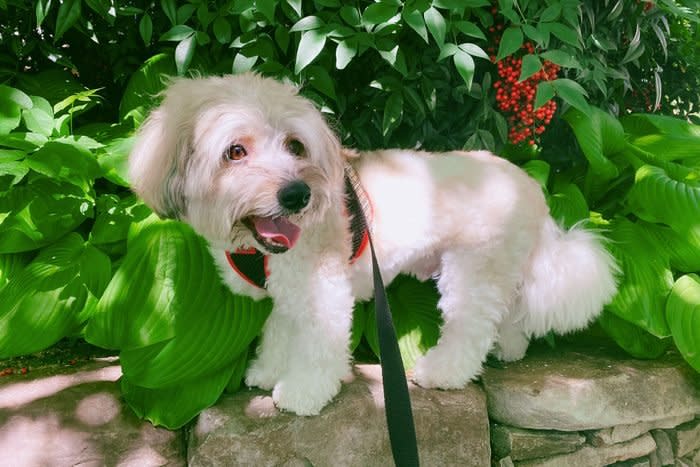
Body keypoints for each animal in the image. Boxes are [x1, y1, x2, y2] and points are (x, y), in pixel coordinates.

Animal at [127, 73, 616, 416]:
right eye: (235, 152)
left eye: (294, 145)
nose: (296, 195)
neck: (255, 249)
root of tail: (529, 186)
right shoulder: (288, 291)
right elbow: (280, 333)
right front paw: (268, 371)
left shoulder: (322, 289)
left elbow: (318, 347)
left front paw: (302, 392)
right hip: (501, 269)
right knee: (508, 315)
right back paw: (508, 349)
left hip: (473, 269)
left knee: (471, 326)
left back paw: (443, 372)